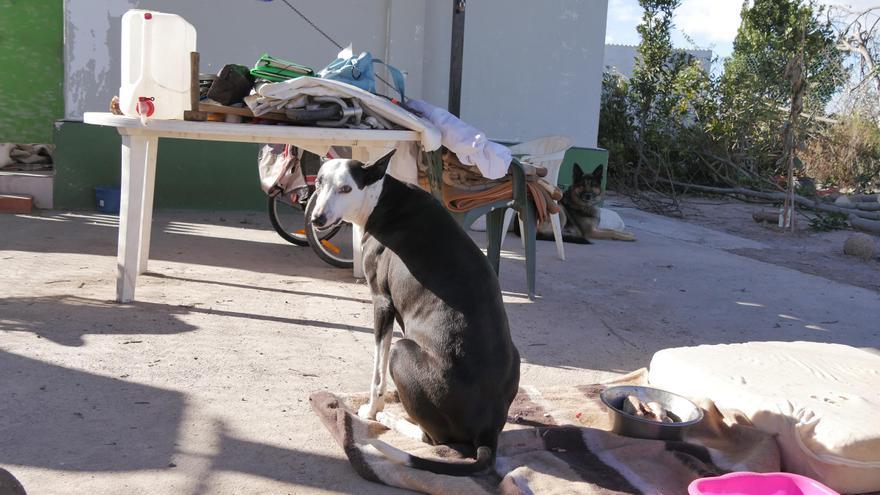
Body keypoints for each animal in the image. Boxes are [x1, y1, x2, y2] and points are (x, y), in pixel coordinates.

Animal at [310, 150, 520, 476]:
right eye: (319, 183)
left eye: (346, 188)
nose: (317, 218)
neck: (382, 198)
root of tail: (487, 433)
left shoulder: (382, 303)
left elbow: (377, 374)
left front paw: (373, 410)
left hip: (402, 350)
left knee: (434, 440)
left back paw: (392, 420)